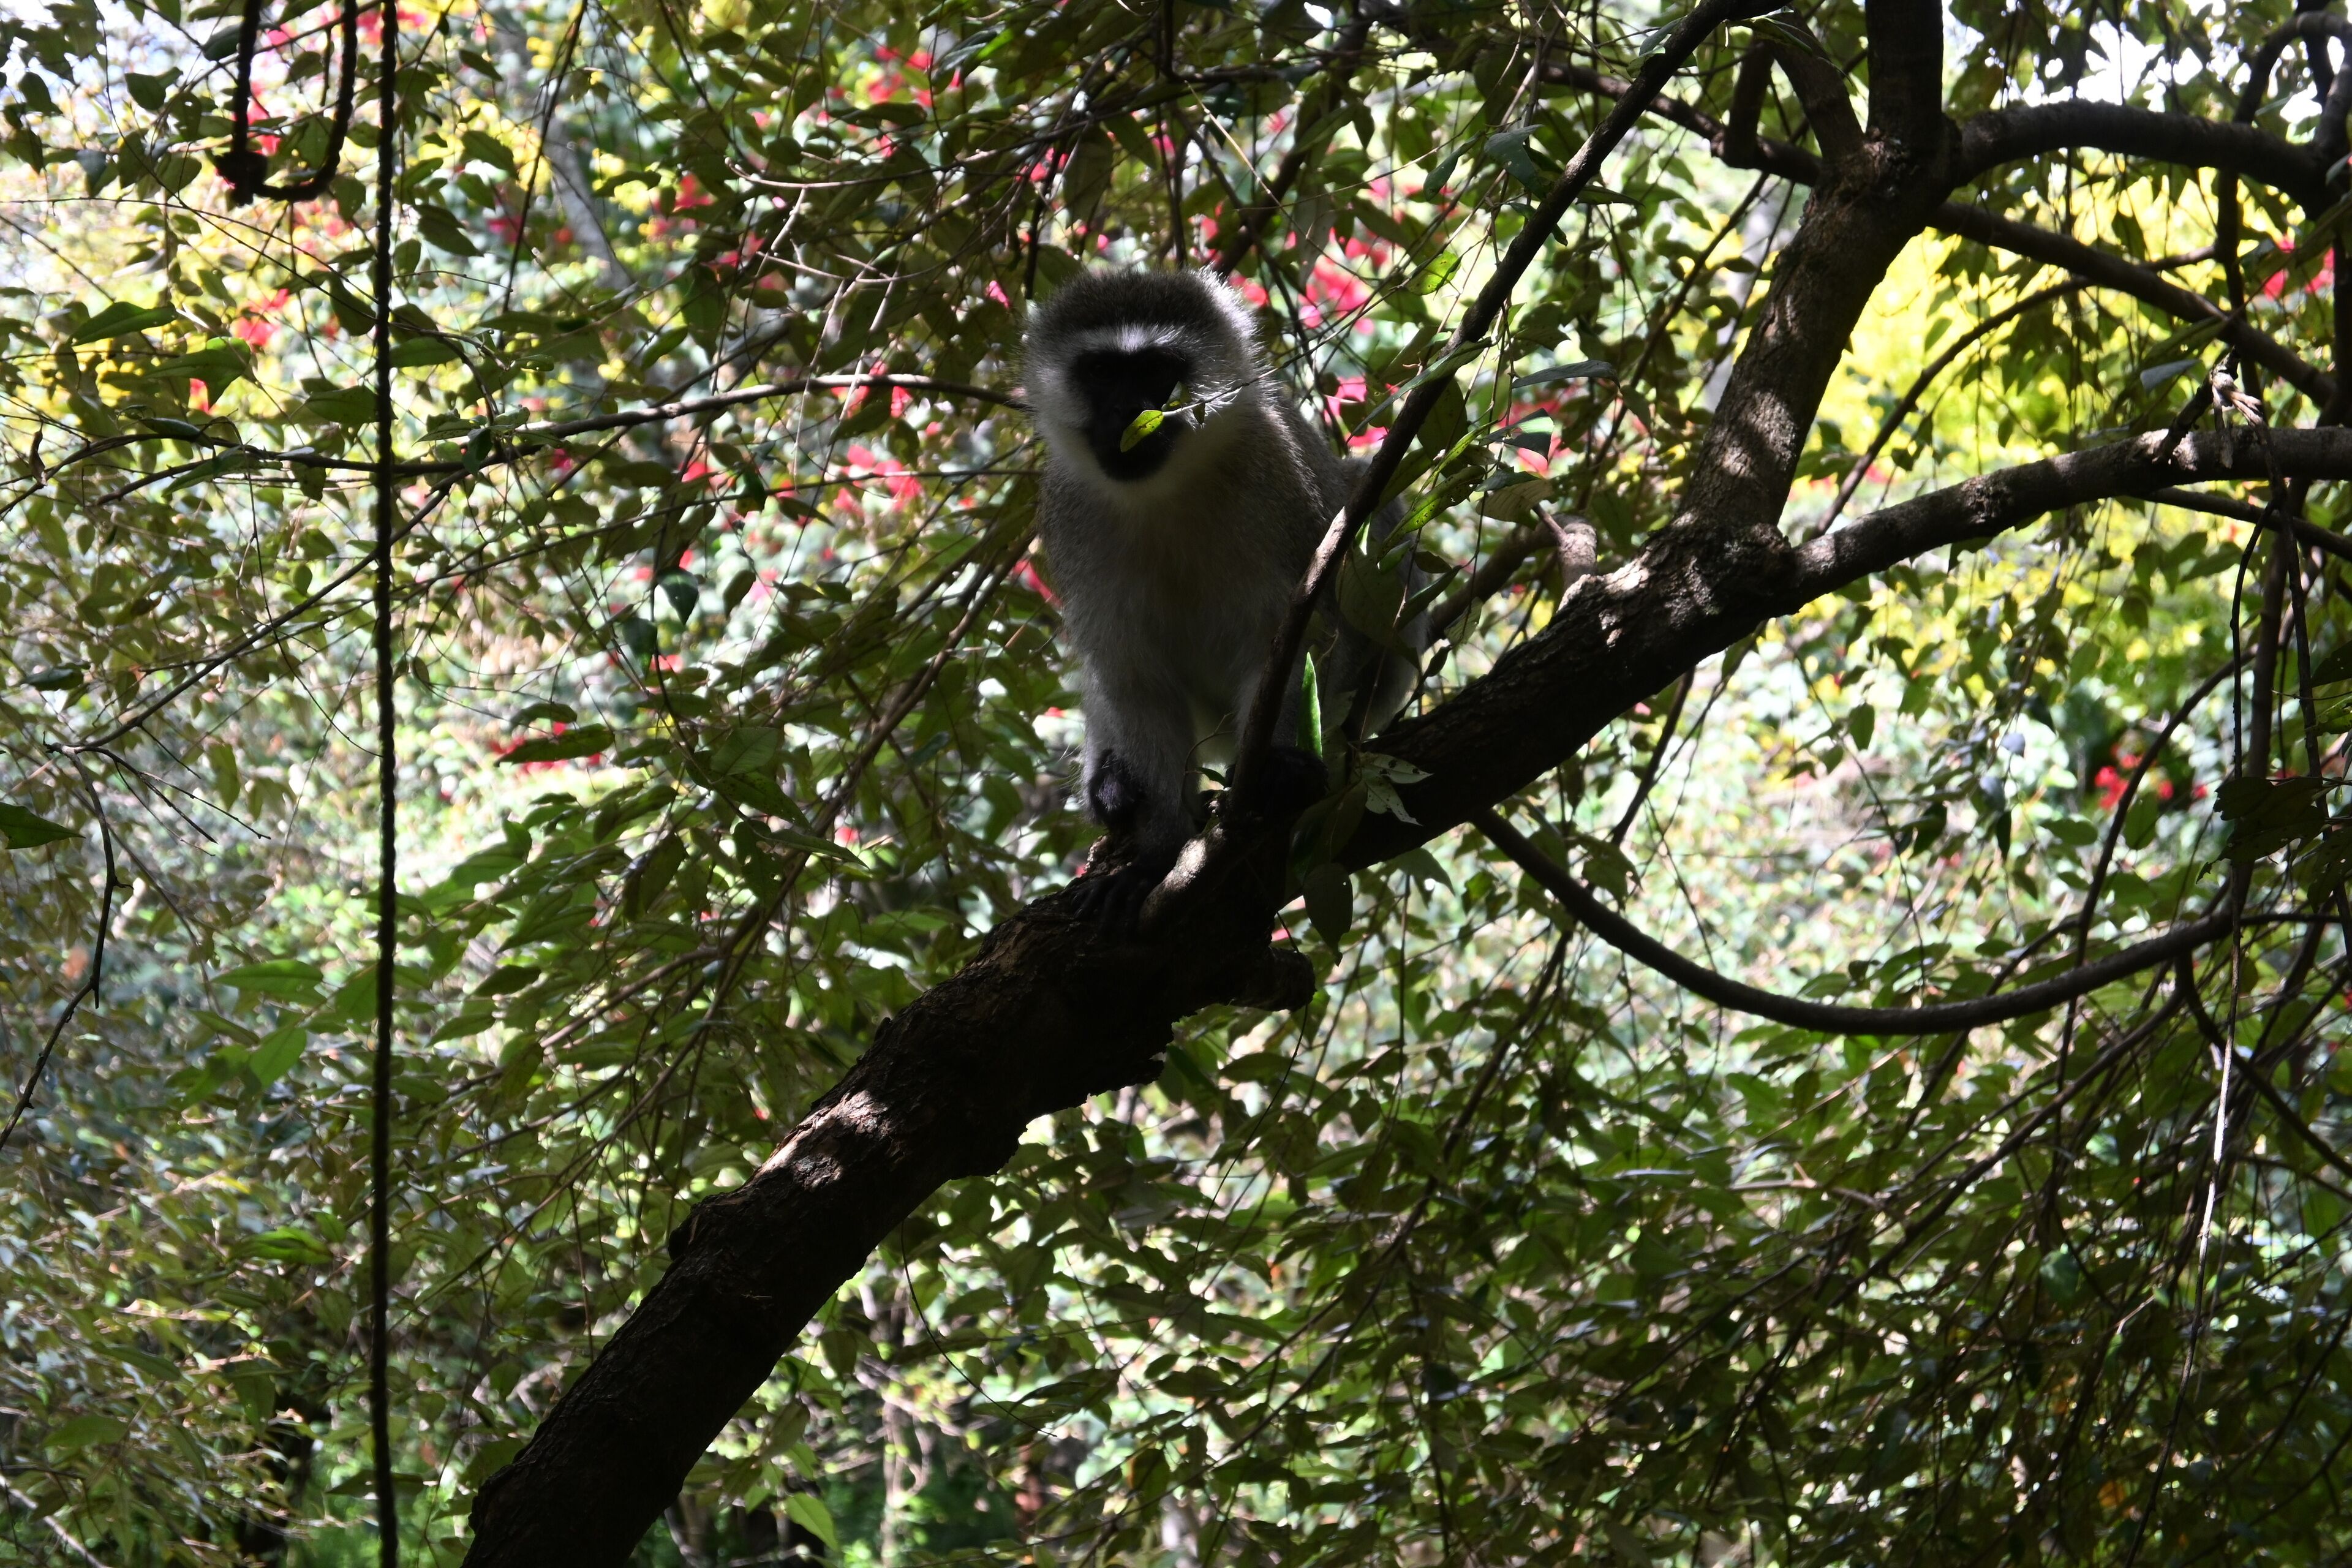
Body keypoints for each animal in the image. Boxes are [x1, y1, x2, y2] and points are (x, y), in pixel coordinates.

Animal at [1023, 268, 1423, 922]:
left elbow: (1300, 639)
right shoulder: (1073, 521)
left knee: (1372, 499)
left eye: (1157, 371)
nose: (1130, 411)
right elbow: (1136, 681)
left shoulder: (1283, 489)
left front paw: (1281, 767)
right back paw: (1112, 784)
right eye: (1102, 373)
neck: (1168, 488)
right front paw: (1156, 857)